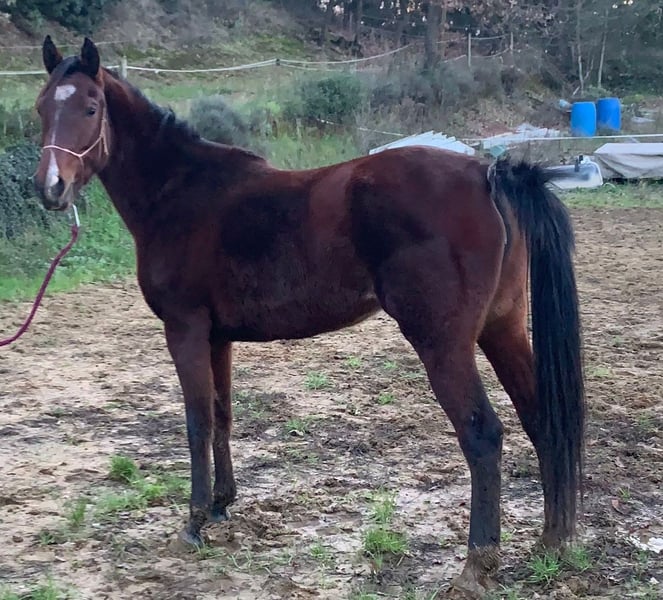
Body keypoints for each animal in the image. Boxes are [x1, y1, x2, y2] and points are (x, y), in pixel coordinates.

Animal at [32, 37, 584, 595]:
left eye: (91, 107)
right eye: (41, 108)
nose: (50, 188)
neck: (181, 193)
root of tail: (486, 175)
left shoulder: (184, 329)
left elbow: (196, 421)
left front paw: (193, 521)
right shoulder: (217, 337)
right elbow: (223, 415)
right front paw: (220, 505)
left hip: (444, 346)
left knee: (483, 436)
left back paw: (477, 565)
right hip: (502, 328)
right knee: (543, 419)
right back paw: (552, 541)